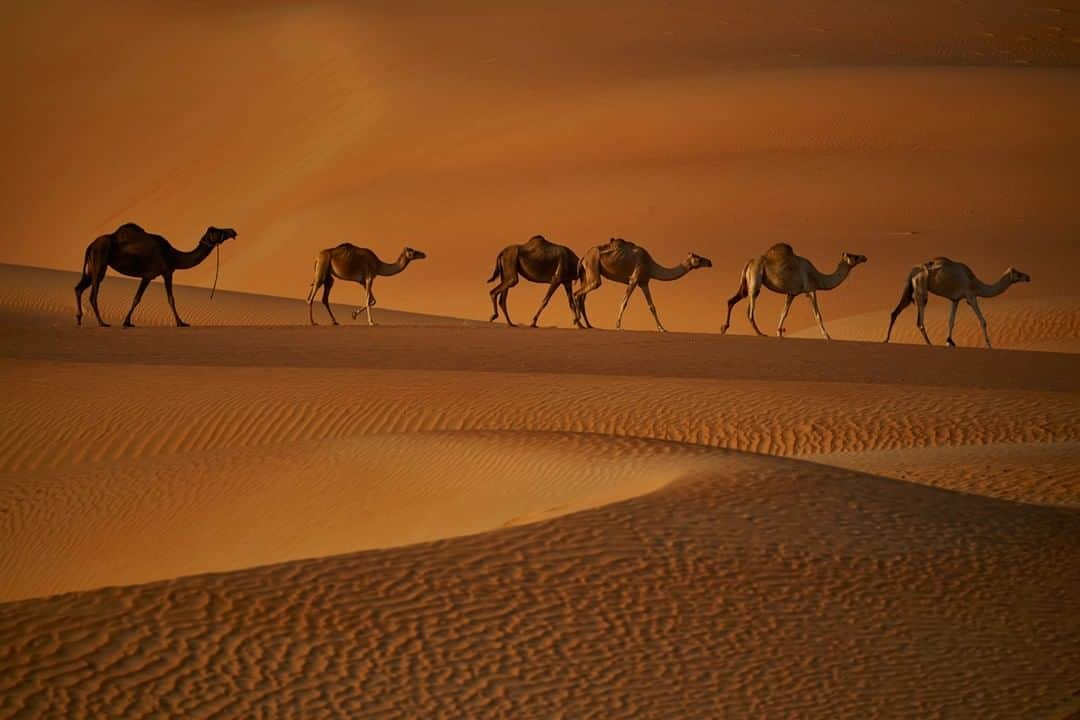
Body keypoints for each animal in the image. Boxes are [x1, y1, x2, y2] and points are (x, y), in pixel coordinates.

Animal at [75, 222, 236, 330]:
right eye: (217, 230)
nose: (233, 231)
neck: (173, 255)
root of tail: (91, 244)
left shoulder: (161, 274)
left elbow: (159, 298)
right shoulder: (154, 274)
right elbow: (143, 298)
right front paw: (180, 323)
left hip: (91, 267)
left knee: (78, 288)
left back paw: (79, 319)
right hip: (100, 262)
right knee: (93, 293)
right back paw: (102, 322)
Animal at [570, 239, 712, 334]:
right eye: (699, 258)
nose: (710, 262)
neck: (651, 265)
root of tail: (583, 257)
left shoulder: (644, 282)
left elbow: (652, 306)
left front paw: (662, 328)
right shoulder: (634, 279)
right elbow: (624, 302)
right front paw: (618, 326)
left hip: (586, 273)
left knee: (581, 295)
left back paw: (583, 325)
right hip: (593, 266)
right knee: (578, 293)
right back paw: (578, 323)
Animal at [721, 243, 864, 338]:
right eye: (854, 256)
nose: (864, 257)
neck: (818, 277)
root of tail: (749, 262)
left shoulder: (792, 293)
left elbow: (784, 312)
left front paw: (779, 332)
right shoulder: (811, 290)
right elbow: (818, 315)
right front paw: (828, 336)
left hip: (746, 283)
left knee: (732, 300)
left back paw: (724, 328)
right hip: (755, 278)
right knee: (750, 310)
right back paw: (760, 333)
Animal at [885, 259, 1028, 349]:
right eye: (1018, 273)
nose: (1028, 277)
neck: (975, 283)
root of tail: (913, 272)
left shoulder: (955, 299)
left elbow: (951, 321)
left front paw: (949, 341)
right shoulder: (970, 296)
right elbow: (982, 320)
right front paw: (989, 345)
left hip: (910, 288)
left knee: (895, 312)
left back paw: (886, 339)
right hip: (921, 288)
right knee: (919, 320)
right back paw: (930, 343)